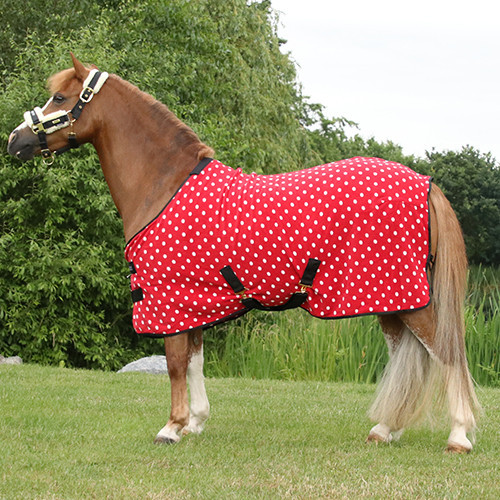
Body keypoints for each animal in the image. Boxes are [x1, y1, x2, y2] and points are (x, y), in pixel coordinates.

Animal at [5, 54, 478, 454]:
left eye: (60, 98)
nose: (14, 141)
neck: (164, 184)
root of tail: (425, 182)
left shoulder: (168, 300)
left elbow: (175, 364)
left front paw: (171, 428)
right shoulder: (190, 303)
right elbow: (194, 362)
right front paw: (195, 422)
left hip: (409, 299)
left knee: (448, 354)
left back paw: (459, 436)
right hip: (389, 301)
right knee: (409, 360)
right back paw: (386, 429)